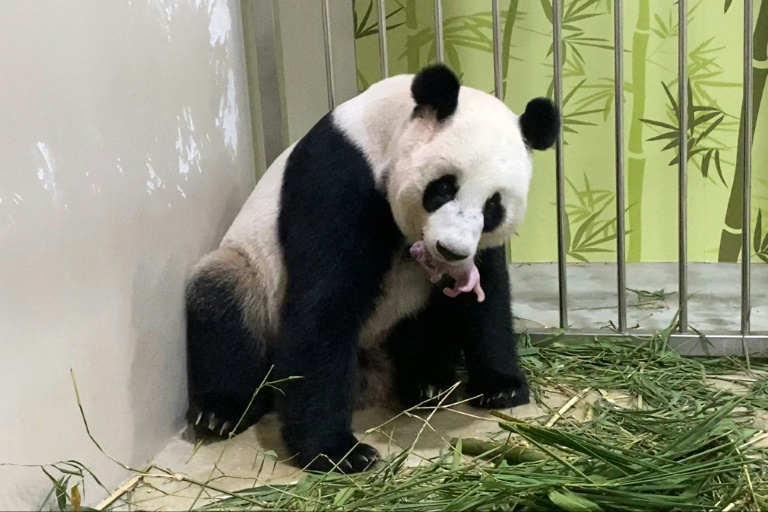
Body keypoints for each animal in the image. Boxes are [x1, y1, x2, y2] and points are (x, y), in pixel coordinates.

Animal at [185, 64, 559, 474]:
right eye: (444, 188)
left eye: (493, 206)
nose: (450, 250)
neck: (383, 132)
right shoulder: (338, 178)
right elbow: (325, 303)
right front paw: (338, 452)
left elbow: (487, 294)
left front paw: (501, 387)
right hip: (251, 275)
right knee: (223, 302)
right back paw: (222, 412)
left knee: (426, 324)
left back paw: (426, 380)